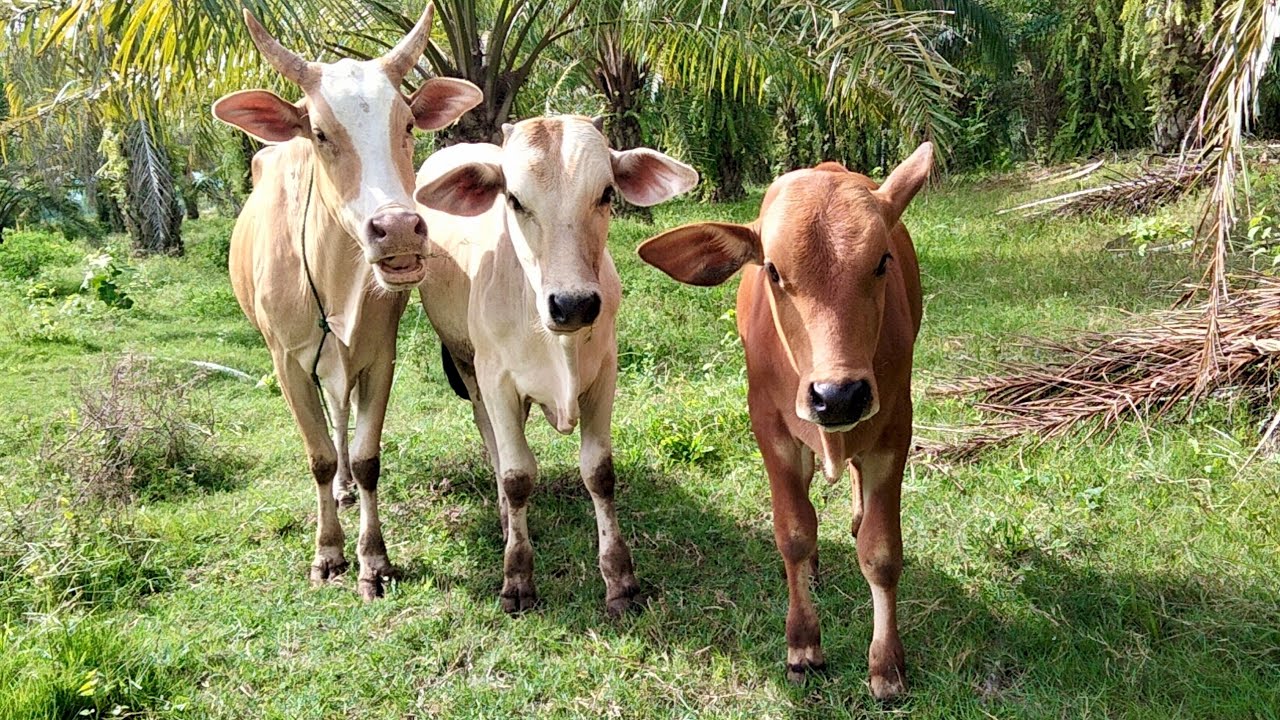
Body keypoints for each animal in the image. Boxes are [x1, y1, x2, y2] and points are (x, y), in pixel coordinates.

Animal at [211, 4, 482, 600]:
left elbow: (366, 459)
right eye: (319, 132)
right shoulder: (286, 363)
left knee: (341, 419)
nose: (399, 229)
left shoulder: (379, 356)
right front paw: (328, 553)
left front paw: (373, 560)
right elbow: (316, 457)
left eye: (407, 125)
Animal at [412, 116, 698, 615]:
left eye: (606, 193)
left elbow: (599, 473)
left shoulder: (605, 375)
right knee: (493, 442)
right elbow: (517, 475)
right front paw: (517, 579)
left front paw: (620, 580)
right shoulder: (496, 380)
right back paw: (505, 519)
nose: (573, 304)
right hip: (468, 367)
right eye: (514, 199)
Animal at [635, 144, 933, 700]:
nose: (838, 395)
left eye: (882, 261)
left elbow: (881, 552)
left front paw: (886, 666)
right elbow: (794, 533)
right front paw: (804, 646)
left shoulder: (894, 429)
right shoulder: (771, 430)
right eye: (773, 270)